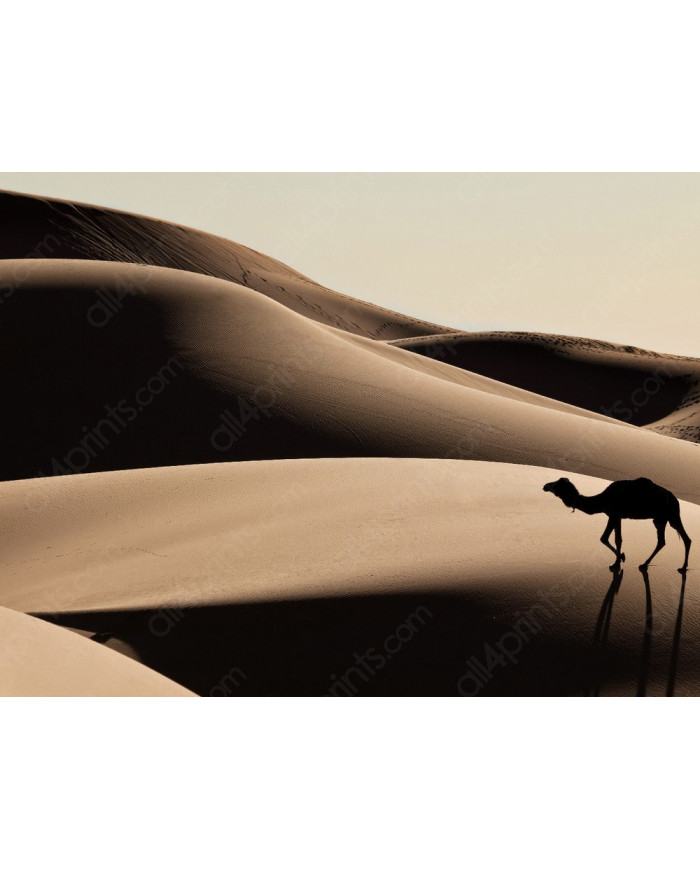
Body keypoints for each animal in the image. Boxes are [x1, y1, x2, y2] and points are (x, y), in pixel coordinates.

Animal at [543, 477, 691, 572]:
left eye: (555, 485)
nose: (545, 486)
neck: (602, 499)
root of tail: (675, 500)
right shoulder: (617, 516)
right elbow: (617, 539)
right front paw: (617, 562)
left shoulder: (613, 514)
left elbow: (604, 538)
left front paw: (619, 560)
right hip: (661, 519)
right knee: (665, 541)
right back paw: (646, 564)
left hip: (671, 516)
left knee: (684, 539)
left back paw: (682, 567)